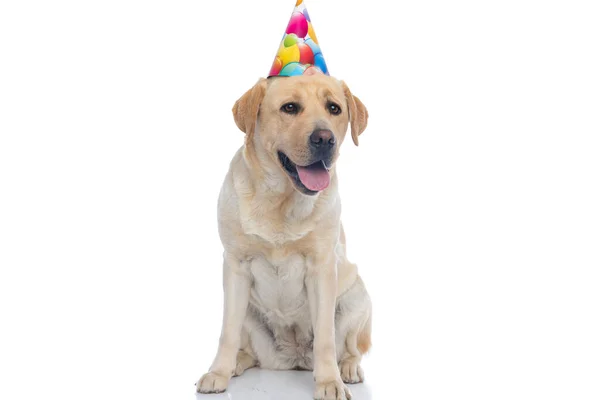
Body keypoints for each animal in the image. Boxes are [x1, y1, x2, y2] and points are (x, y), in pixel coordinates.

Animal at [197, 70, 372, 398]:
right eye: (290, 108)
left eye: (334, 108)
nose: (324, 139)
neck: (280, 201)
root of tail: (294, 358)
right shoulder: (235, 267)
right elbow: (227, 332)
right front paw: (218, 372)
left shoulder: (321, 268)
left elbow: (326, 339)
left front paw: (329, 382)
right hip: (249, 312)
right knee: (248, 348)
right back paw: (237, 363)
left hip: (357, 297)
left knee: (350, 348)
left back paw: (348, 369)